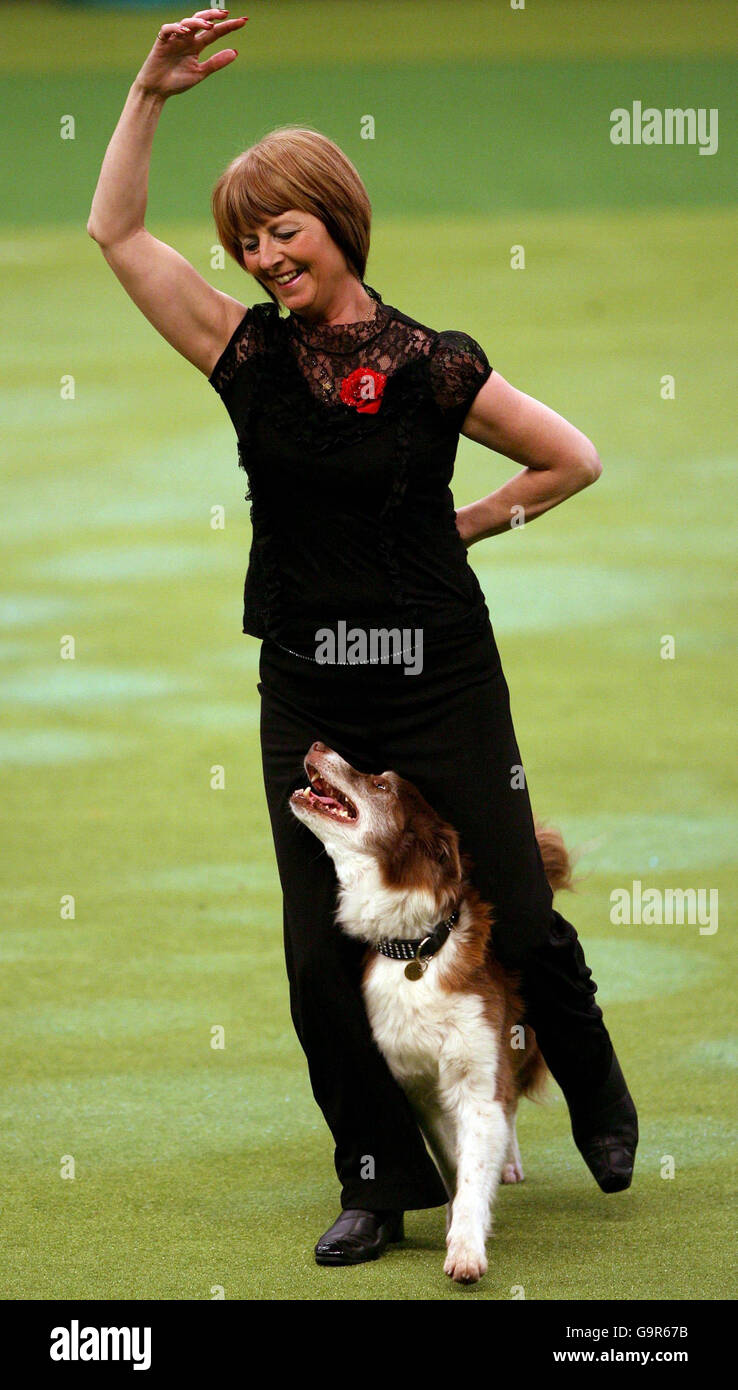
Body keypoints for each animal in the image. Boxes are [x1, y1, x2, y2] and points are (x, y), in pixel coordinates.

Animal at [291, 739, 575, 1278]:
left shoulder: (476, 1072)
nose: (317, 744)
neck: (416, 950)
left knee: (509, 1103)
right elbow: (452, 1163)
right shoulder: (416, 1085)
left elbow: (476, 1158)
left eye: (380, 784)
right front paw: (454, 1220)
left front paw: (466, 1248)